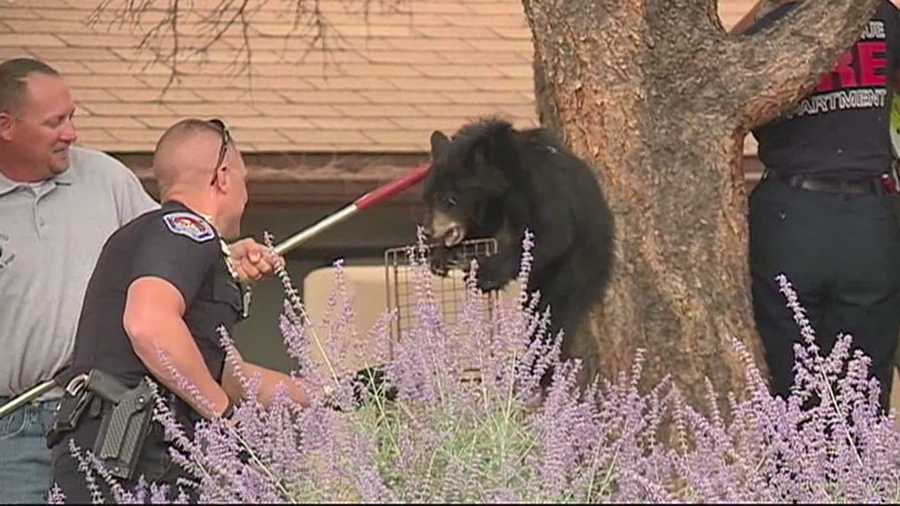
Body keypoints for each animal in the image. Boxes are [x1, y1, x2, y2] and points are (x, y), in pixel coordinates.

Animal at [422, 118, 615, 388]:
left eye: (451, 199)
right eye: (428, 198)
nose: (428, 231)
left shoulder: (540, 185)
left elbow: (553, 233)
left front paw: (487, 274)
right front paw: (442, 256)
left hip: (577, 267)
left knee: (553, 313)